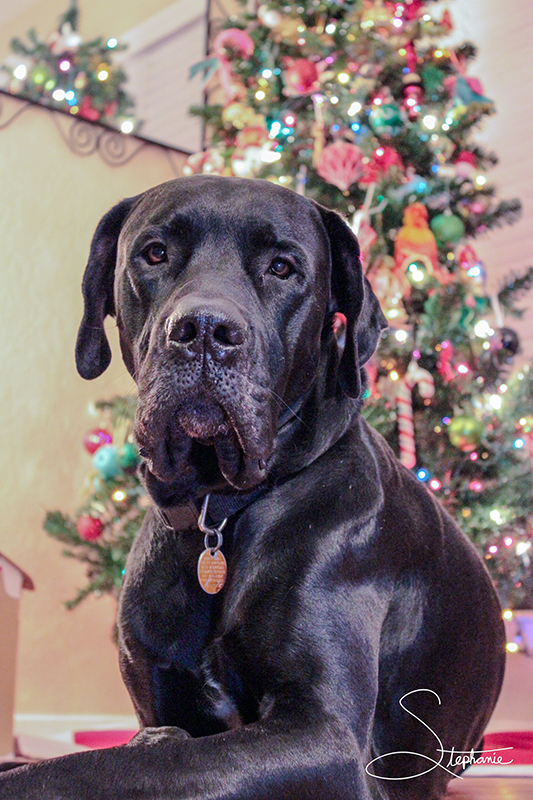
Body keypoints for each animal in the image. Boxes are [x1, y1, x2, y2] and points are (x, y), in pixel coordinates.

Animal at [0, 177, 504, 800]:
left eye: (282, 267)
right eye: (155, 253)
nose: (204, 331)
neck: (220, 510)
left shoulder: (325, 733)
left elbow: (97, 767)